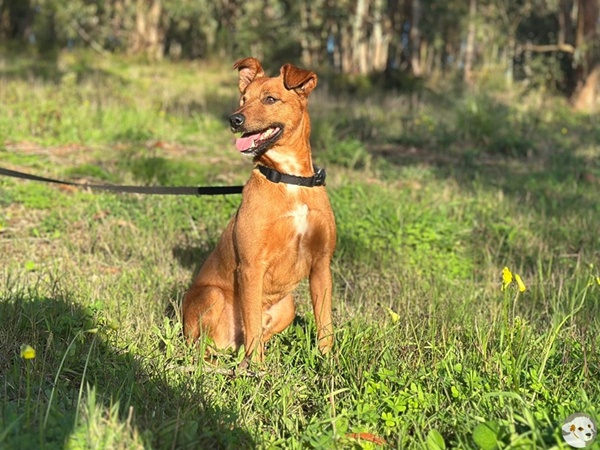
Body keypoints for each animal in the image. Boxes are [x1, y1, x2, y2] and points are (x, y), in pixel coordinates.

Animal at [182, 57, 336, 368]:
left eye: (270, 99)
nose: (234, 120)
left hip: (288, 305)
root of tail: (228, 343)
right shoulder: (251, 267)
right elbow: (251, 322)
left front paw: (327, 362)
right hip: (212, 296)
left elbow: (325, 322)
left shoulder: (321, 264)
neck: (289, 179)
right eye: (243, 99)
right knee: (206, 346)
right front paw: (257, 370)